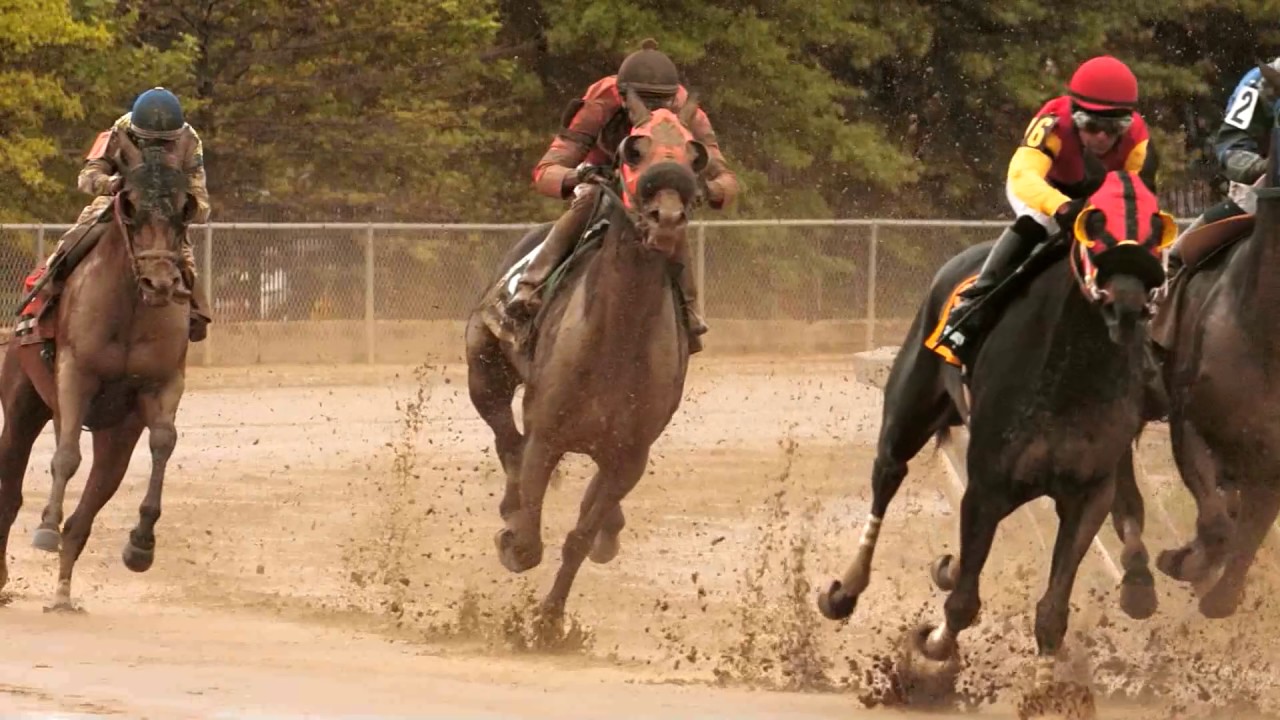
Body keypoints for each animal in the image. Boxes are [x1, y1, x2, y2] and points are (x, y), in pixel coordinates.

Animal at [0, 128, 197, 611]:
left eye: (184, 209)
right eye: (130, 205)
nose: (160, 283)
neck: (128, 307)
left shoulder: (162, 385)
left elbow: (163, 442)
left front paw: (141, 544)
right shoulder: (75, 375)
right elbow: (66, 455)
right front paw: (45, 526)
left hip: (115, 436)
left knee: (86, 512)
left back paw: (63, 594)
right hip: (22, 405)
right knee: (10, 492)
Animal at [465, 88, 709, 631]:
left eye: (695, 155)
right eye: (633, 150)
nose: (667, 218)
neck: (616, 339)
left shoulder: (628, 456)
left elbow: (577, 538)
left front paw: (550, 624)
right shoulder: (548, 437)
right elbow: (529, 538)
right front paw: (513, 537)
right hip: (484, 370)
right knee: (505, 436)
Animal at [816, 171, 1172, 714]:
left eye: (1156, 230)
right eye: (1095, 226)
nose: (1127, 308)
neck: (1070, 373)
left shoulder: (1087, 491)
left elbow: (1053, 608)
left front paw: (1047, 696)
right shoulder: (988, 487)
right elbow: (962, 603)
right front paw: (929, 653)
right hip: (909, 407)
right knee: (887, 474)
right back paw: (846, 590)